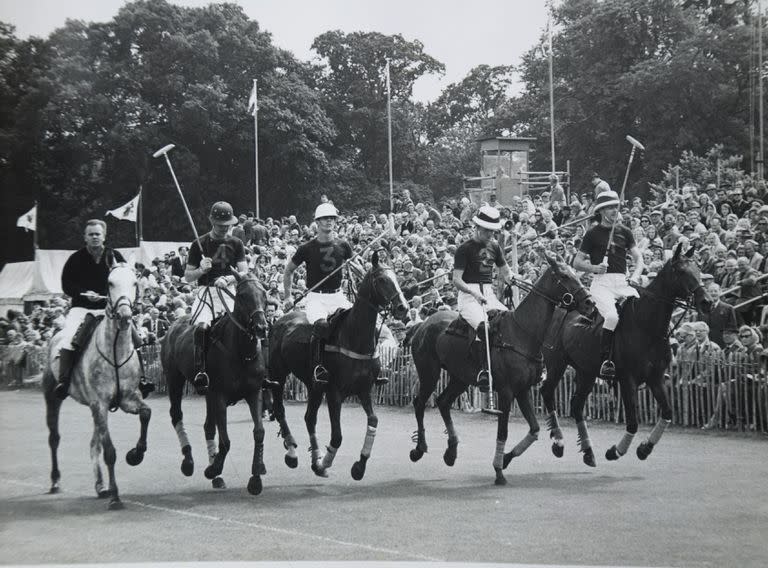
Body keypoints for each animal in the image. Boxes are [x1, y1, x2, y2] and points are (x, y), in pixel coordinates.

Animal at [42, 262, 150, 510]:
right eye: (110, 283)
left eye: (134, 282)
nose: (125, 316)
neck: (115, 350)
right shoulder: (99, 403)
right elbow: (109, 452)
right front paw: (116, 497)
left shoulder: (128, 399)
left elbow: (146, 413)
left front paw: (136, 454)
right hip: (53, 396)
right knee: (54, 438)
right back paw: (55, 481)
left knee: (94, 443)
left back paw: (100, 486)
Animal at [161, 270, 270, 492]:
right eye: (242, 296)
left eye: (264, 294)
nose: (262, 327)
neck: (241, 352)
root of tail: (174, 323)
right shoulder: (219, 395)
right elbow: (226, 440)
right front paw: (213, 469)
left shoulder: (254, 392)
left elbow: (259, 431)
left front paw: (256, 476)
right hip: (174, 380)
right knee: (176, 415)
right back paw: (189, 462)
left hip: (207, 394)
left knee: (208, 426)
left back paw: (216, 475)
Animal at [268, 252, 412, 480]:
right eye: (381, 279)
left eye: (397, 277)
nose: (403, 308)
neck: (355, 337)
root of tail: (280, 320)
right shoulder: (335, 392)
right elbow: (337, 436)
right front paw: (326, 463)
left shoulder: (364, 390)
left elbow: (373, 421)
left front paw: (359, 466)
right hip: (278, 375)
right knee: (281, 410)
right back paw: (293, 453)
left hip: (313, 384)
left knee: (309, 418)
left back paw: (315, 459)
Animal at [408, 255, 592, 486]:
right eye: (564, 276)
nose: (590, 303)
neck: (523, 334)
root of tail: (422, 324)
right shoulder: (506, 391)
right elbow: (503, 432)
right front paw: (498, 471)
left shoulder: (523, 390)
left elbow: (535, 430)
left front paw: (505, 460)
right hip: (429, 373)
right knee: (419, 403)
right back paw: (419, 449)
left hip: (460, 377)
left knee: (442, 402)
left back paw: (451, 452)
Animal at [540, 242, 712, 464]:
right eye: (681, 271)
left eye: (698, 269)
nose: (707, 302)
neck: (647, 327)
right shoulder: (628, 379)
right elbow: (633, 422)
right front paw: (615, 451)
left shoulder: (655, 378)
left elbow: (667, 412)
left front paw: (645, 448)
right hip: (556, 363)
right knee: (547, 392)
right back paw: (559, 442)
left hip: (586, 370)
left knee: (576, 405)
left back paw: (588, 451)